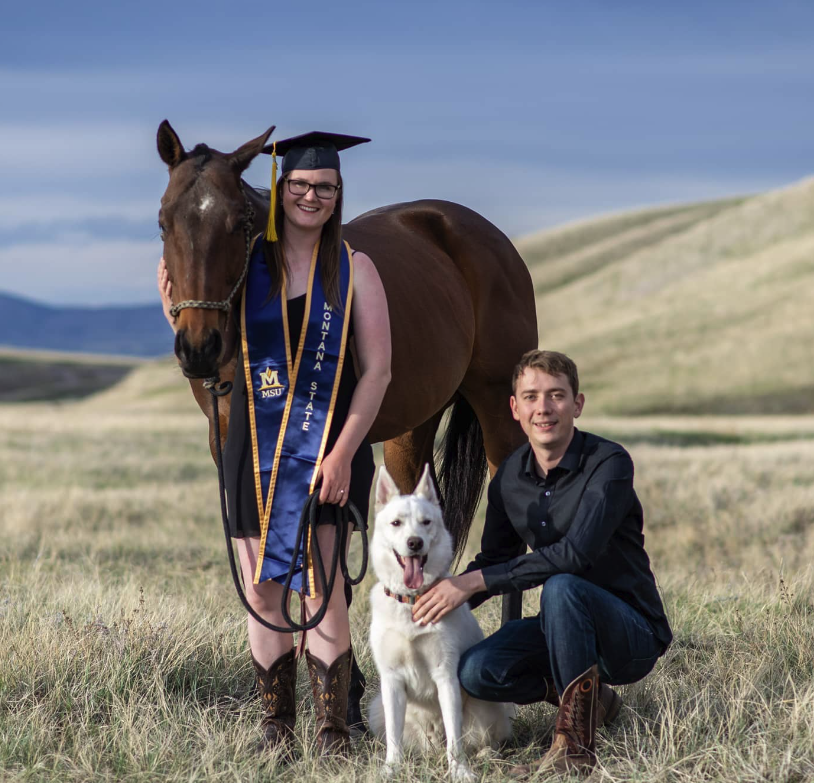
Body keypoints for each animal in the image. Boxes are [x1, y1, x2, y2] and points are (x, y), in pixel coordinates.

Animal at [372, 466, 516, 776]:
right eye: (396, 523)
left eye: (426, 522)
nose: (415, 542)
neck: (412, 601)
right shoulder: (391, 681)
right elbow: (393, 737)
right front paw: (391, 769)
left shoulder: (445, 675)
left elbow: (455, 737)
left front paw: (459, 771)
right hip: (376, 707)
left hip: (485, 710)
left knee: (486, 739)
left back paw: (486, 754)